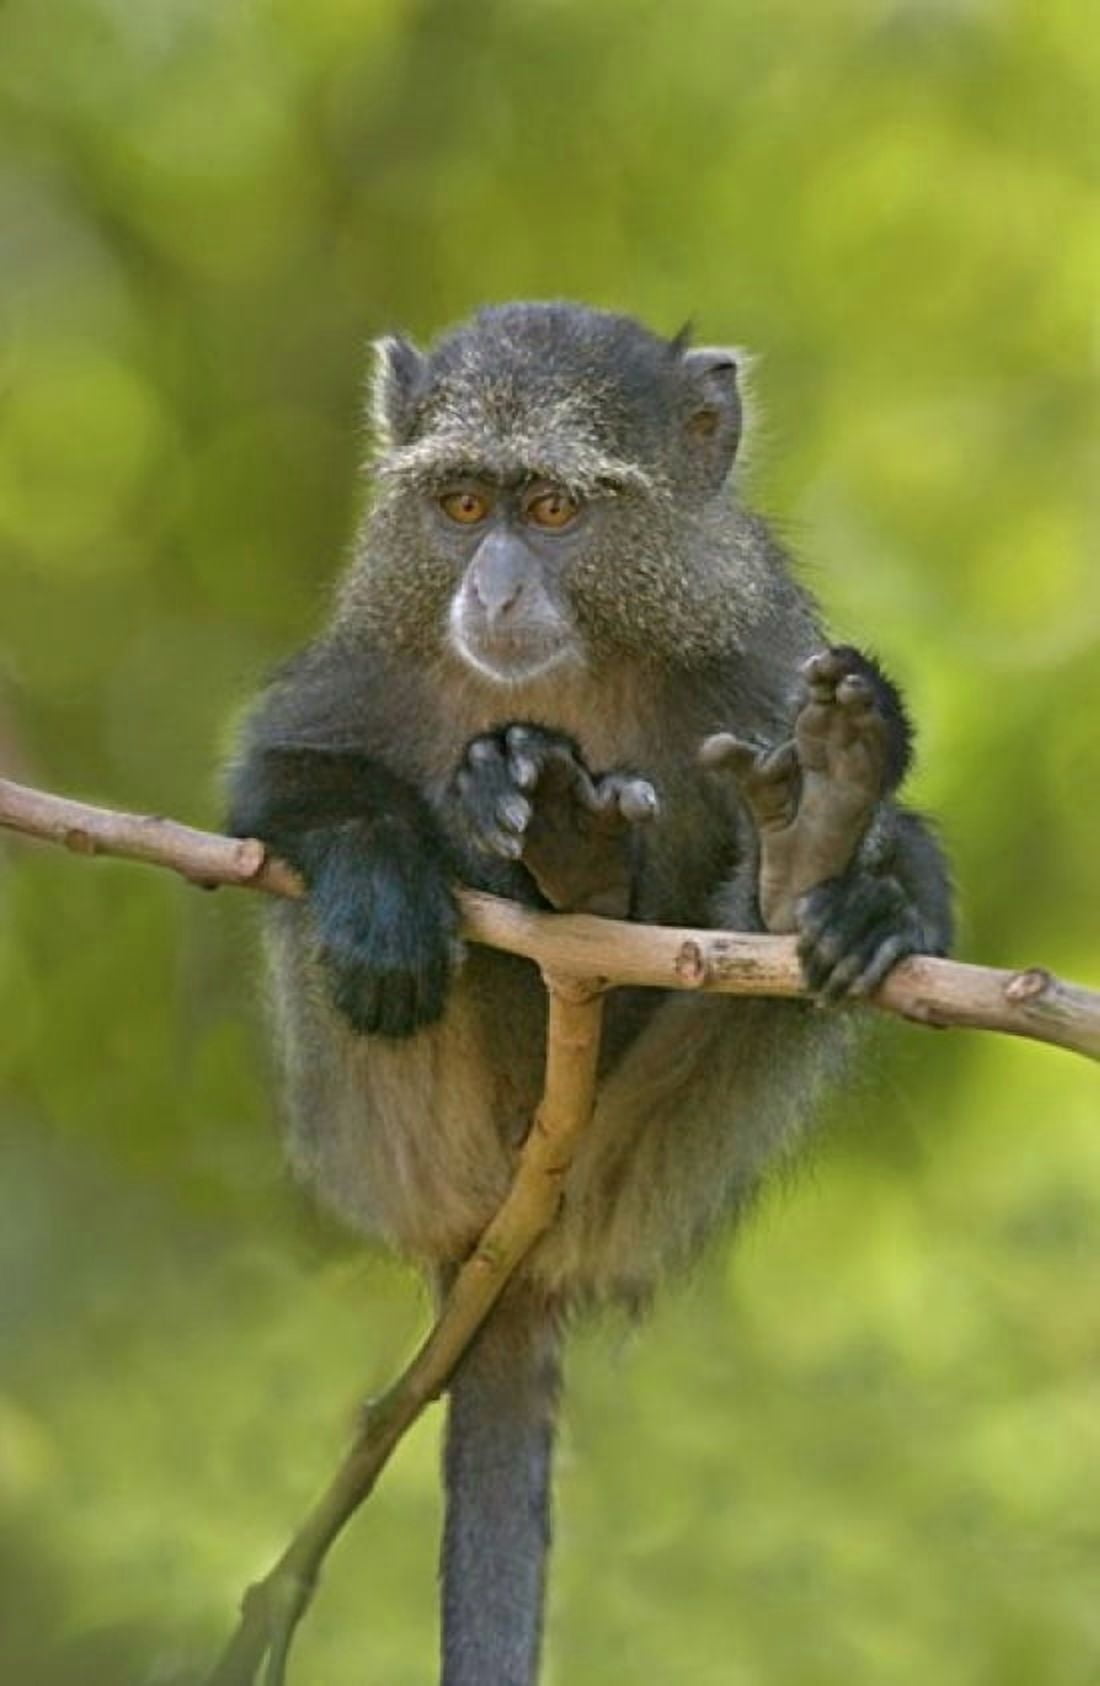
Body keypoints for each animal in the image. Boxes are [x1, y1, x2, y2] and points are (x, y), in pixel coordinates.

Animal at [225, 302, 953, 1686]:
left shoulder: (762, 656)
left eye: (557, 510)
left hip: (645, 1163)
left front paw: (873, 894)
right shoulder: (361, 664)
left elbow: (920, 876)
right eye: (461, 503)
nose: (495, 585)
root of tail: (505, 1254)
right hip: (400, 1133)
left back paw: (799, 872)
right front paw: (385, 880)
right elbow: (274, 791)